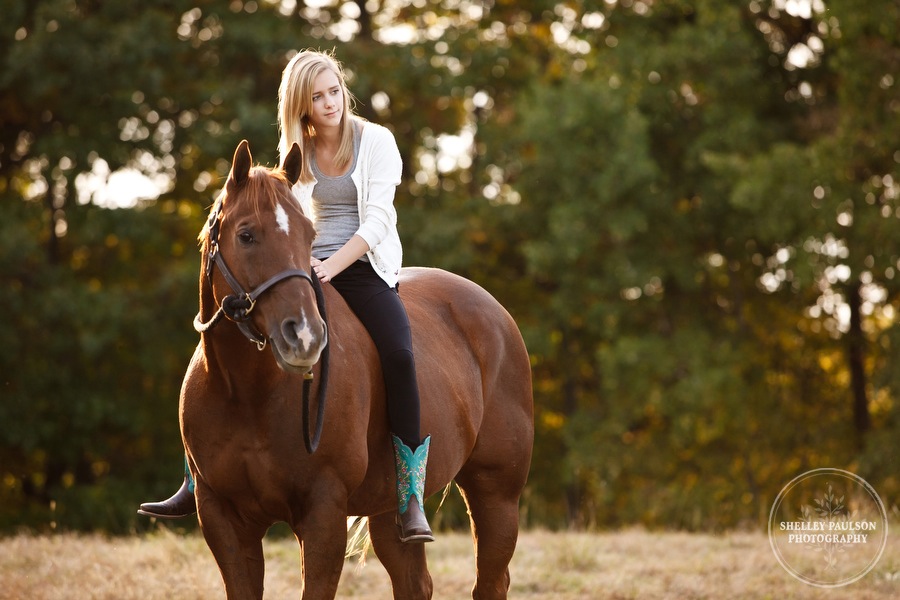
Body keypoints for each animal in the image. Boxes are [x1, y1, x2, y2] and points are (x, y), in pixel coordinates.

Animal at [182, 138, 536, 596]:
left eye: (308, 234)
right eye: (246, 235)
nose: (305, 335)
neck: (248, 394)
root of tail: (497, 314)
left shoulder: (323, 514)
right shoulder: (221, 517)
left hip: (496, 495)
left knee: (491, 581)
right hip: (391, 512)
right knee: (415, 583)